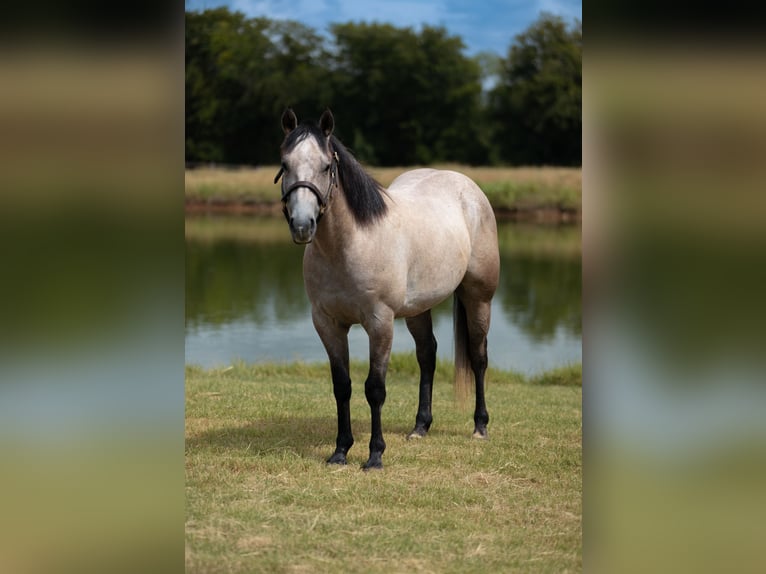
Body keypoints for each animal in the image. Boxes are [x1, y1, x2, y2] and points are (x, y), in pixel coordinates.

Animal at [274, 108, 499, 470]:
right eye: (285, 163)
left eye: (326, 166)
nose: (302, 225)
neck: (350, 244)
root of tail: (467, 187)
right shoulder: (327, 324)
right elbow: (342, 386)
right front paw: (340, 451)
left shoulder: (379, 323)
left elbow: (375, 389)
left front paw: (375, 455)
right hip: (419, 309)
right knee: (427, 355)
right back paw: (420, 427)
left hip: (479, 298)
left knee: (478, 357)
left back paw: (480, 427)